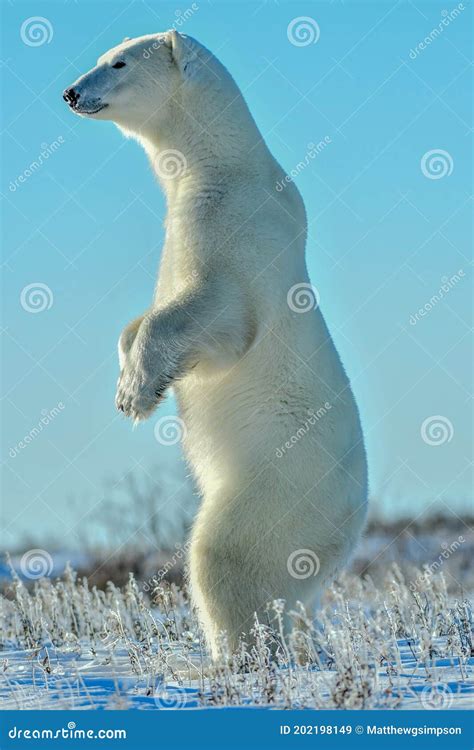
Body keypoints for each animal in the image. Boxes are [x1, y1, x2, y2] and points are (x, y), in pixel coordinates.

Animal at [63, 32, 368, 660]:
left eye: (119, 62)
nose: (72, 92)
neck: (222, 164)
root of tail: (356, 520)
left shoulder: (232, 228)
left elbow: (221, 319)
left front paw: (135, 396)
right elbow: (140, 319)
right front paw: (131, 377)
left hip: (284, 487)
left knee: (226, 557)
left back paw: (233, 659)